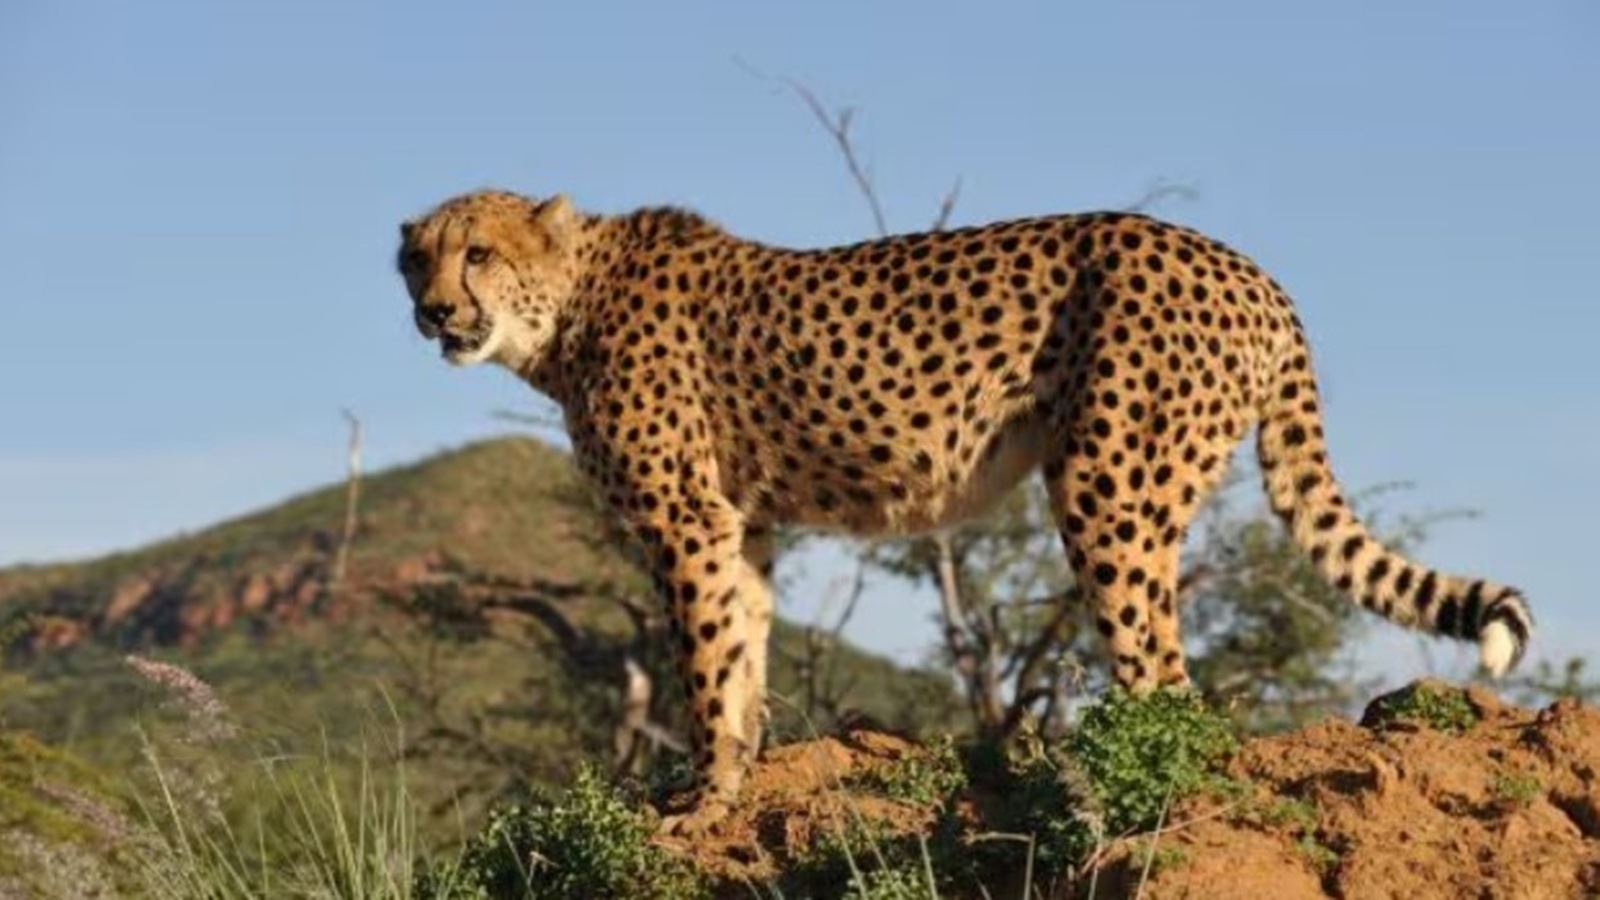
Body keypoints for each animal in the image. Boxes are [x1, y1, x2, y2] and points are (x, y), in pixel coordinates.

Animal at [395, 188, 1533, 835]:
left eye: (478, 253)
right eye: (416, 257)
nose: (433, 312)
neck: (566, 309)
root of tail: (1249, 269)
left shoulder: (686, 522)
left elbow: (707, 667)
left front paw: (703, 800)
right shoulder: (740, 528)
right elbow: (743, 651)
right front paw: (739, 780)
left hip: (1105, 482)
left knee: (1166, 676)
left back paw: (1109, 794)